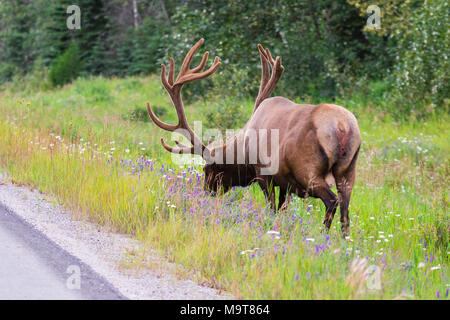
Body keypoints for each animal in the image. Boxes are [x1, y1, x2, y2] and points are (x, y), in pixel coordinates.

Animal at [148, 39, 362, 235]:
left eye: (207, 169)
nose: (206, 192)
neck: (244, 152)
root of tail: (343, 127)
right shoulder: (285, 183)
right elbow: (282, 208)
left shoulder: (264, 173)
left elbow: (272, 208)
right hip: (348, 170)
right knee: (345, 212)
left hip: (308, 170)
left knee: (332, 201)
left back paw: (324, 236)